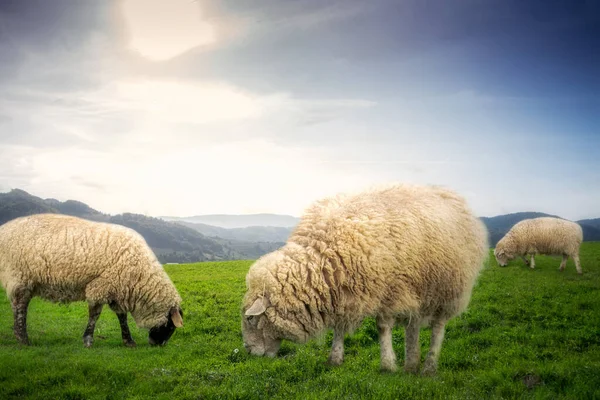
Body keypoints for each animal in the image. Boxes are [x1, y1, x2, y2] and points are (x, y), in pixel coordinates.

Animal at [0, 212, 183, 346]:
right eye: (171, 326)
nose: (157, 344)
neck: (139, 275)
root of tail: (4, 228)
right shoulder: (100, 286)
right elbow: (94, 315)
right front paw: (88, 340)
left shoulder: (117, 288)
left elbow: (122, 317)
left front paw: (128, 341)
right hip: (19, 276)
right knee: (20, 307)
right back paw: (23, 339)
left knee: (18, 305)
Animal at [239, 184, 488, 376]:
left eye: (251, 319)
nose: (249, 351)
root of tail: (454, 197)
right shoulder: (342, 293)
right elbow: (339, 328)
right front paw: (335, 359)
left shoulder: (390, 291)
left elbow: (382, 328)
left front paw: (387, 364)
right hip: (417, 288)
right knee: (413, 325)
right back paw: (411, 364)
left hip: (448, 289)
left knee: (437, 328)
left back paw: (429, 366)